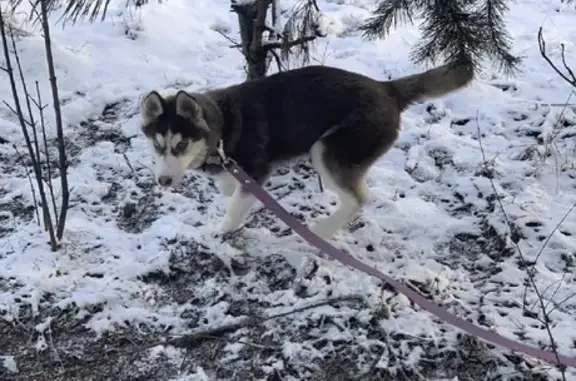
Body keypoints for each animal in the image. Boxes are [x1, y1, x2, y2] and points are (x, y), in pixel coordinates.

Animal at [140, 63, 472, 239]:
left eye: (181, 145)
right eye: (157, 146)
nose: (163, 182)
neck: (221, 126)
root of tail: (385, 88)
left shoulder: (256, 170)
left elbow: (235, 204)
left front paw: (223, 230)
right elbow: (231, 191)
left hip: (325, 150)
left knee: (360, 198)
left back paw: (323, 230)